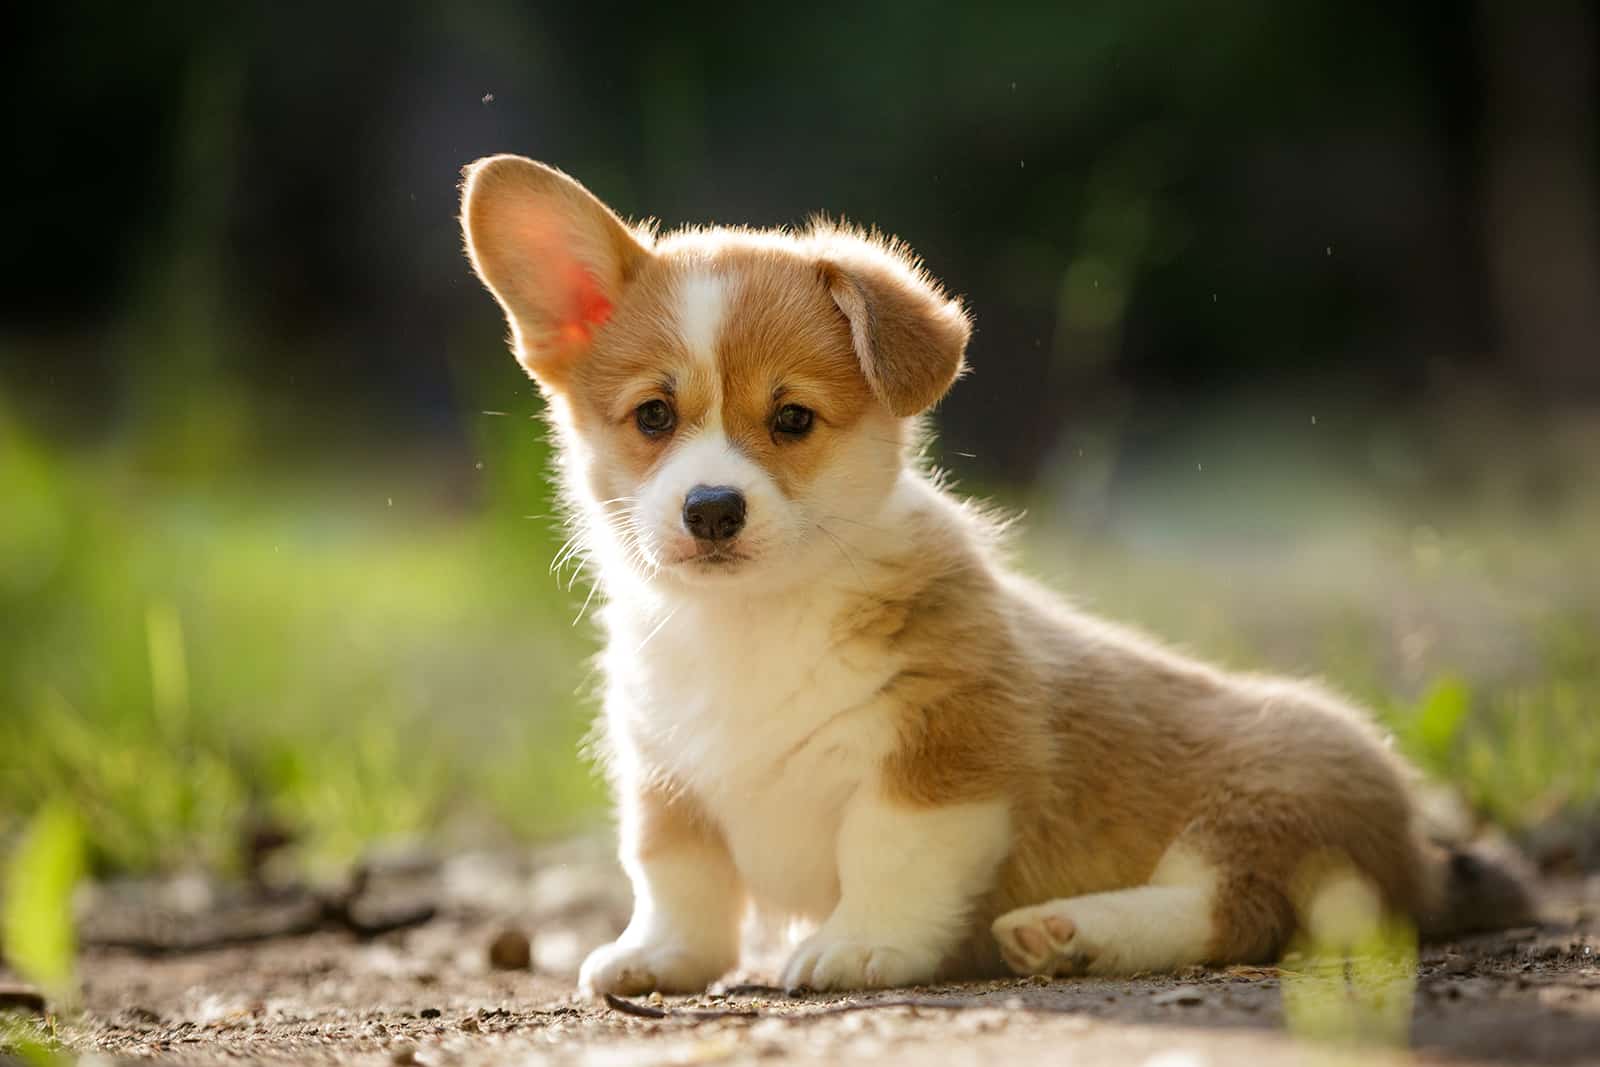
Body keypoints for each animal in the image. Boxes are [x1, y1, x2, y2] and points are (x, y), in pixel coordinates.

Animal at [457, 156, 1529, 991]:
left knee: (1239, 909)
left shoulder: (947, 753)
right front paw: (657, 958)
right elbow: (678, 878)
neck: (754, 622)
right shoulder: (665, 773)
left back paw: (1072, 931)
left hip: (1268, 803)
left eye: (792, 418)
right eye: (653, 416)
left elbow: (884, 855)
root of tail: (1418, 852)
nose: (712, 510)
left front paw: (857, 947)